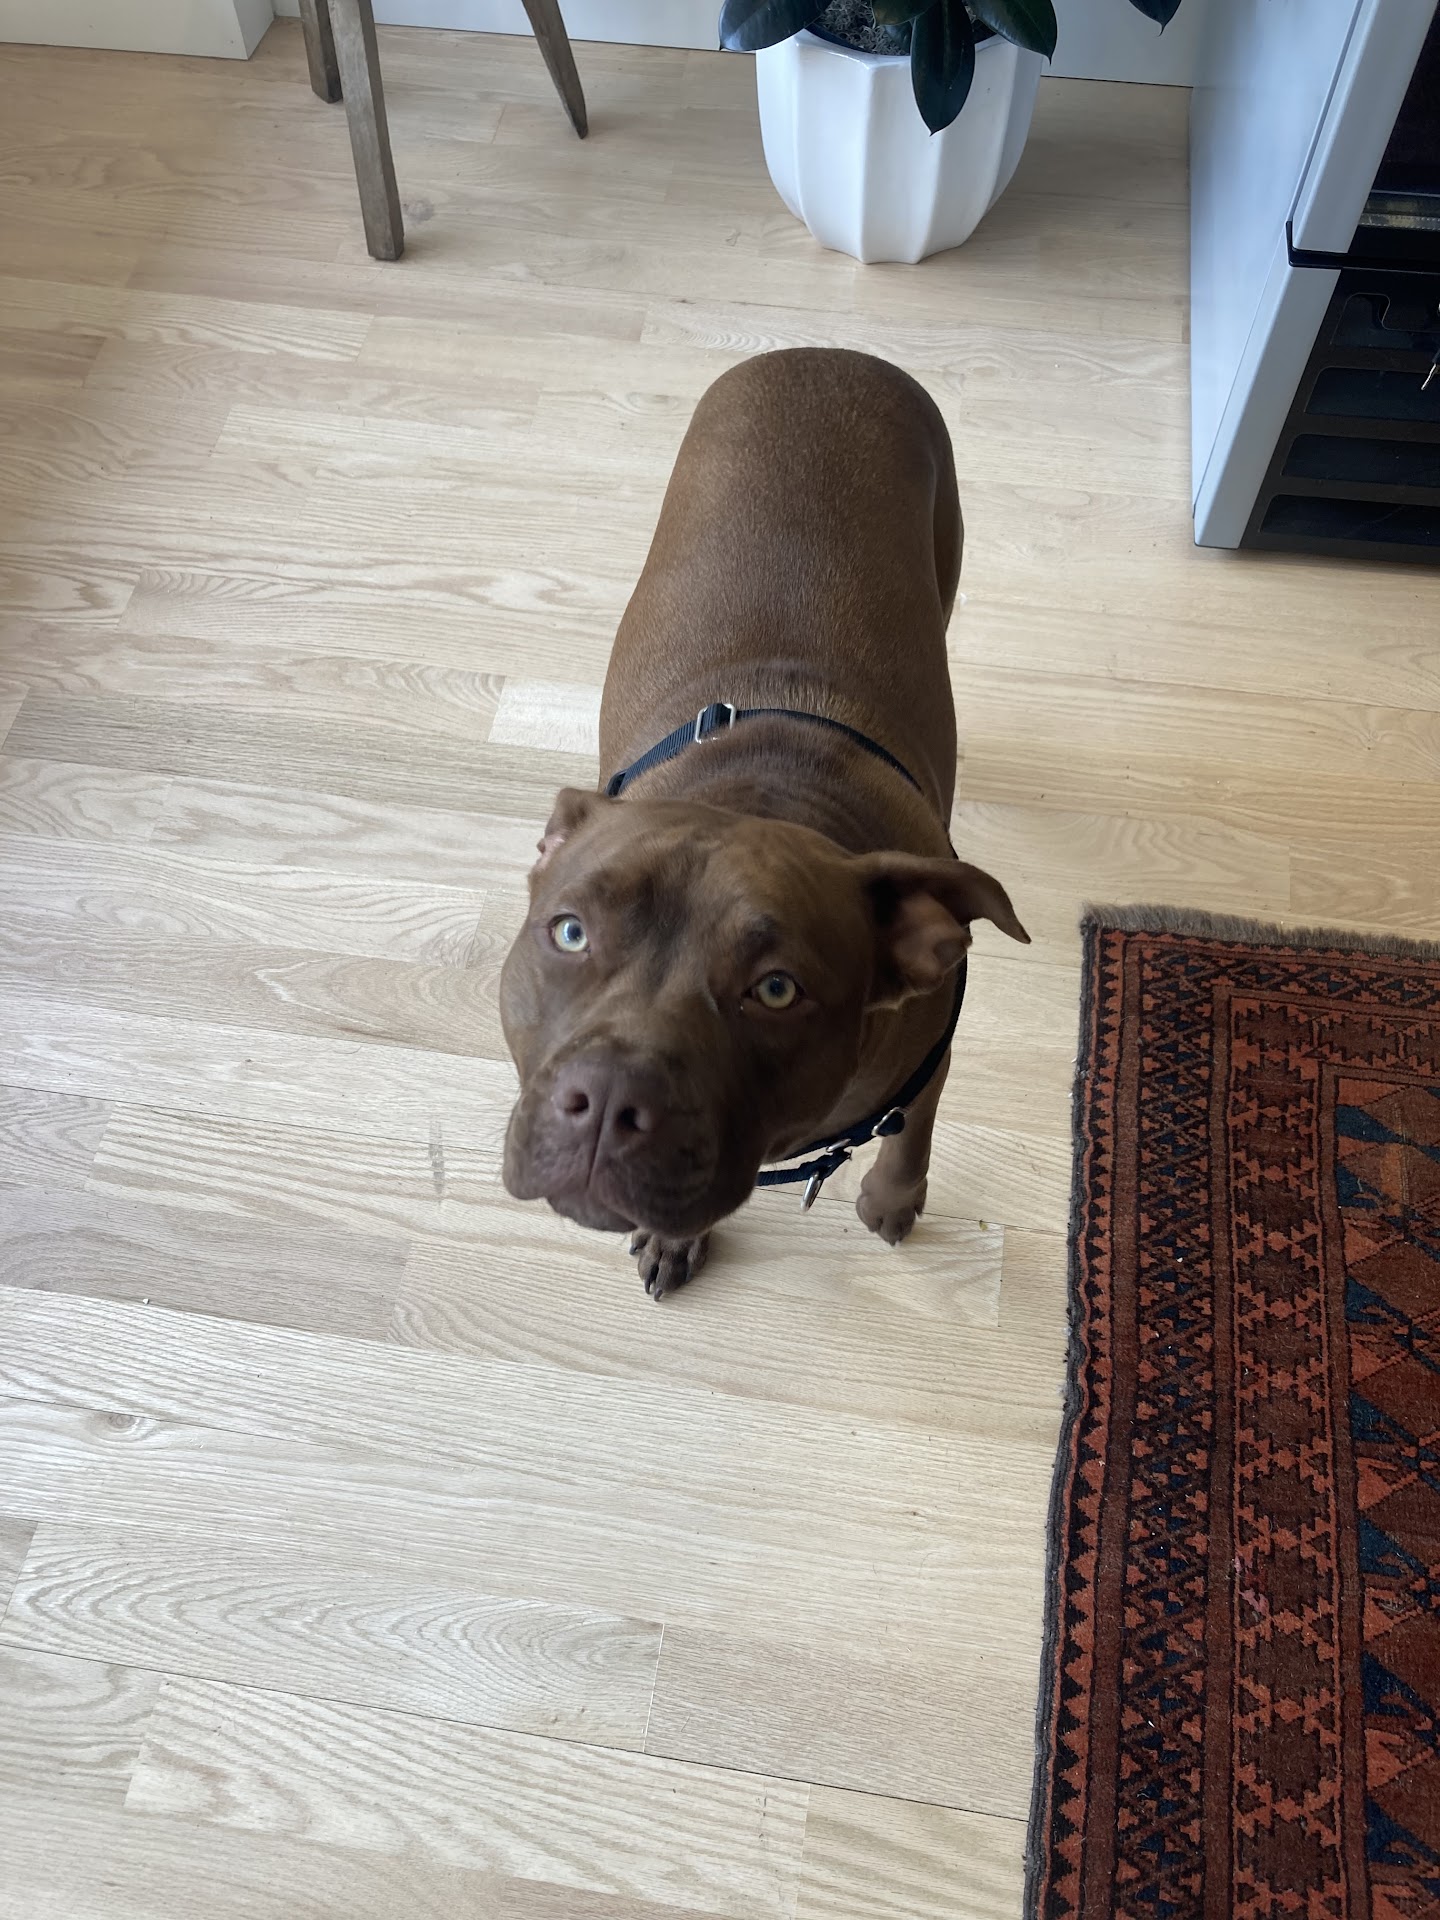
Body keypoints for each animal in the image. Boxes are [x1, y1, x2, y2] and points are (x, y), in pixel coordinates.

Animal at [499, 348, 1028, 1297]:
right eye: (568, 932)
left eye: (777, 990)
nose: (608, 1100)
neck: (761, 795)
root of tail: (829, 353)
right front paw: (672, 1240)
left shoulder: (929, 1063)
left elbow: (913, 1135)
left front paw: (892, 1201)